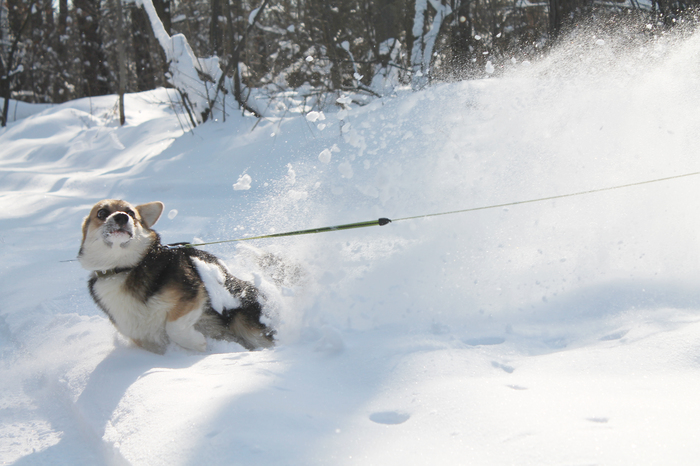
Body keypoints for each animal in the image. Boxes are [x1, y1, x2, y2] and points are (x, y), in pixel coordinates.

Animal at [77, 198, 274, 354]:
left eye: (131, 213)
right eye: (102, 213)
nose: (121, 217)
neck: (124, 268)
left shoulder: (193, 294)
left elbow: (174, 327)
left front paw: (198, 343)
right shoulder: (139, 333)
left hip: (244, 320)